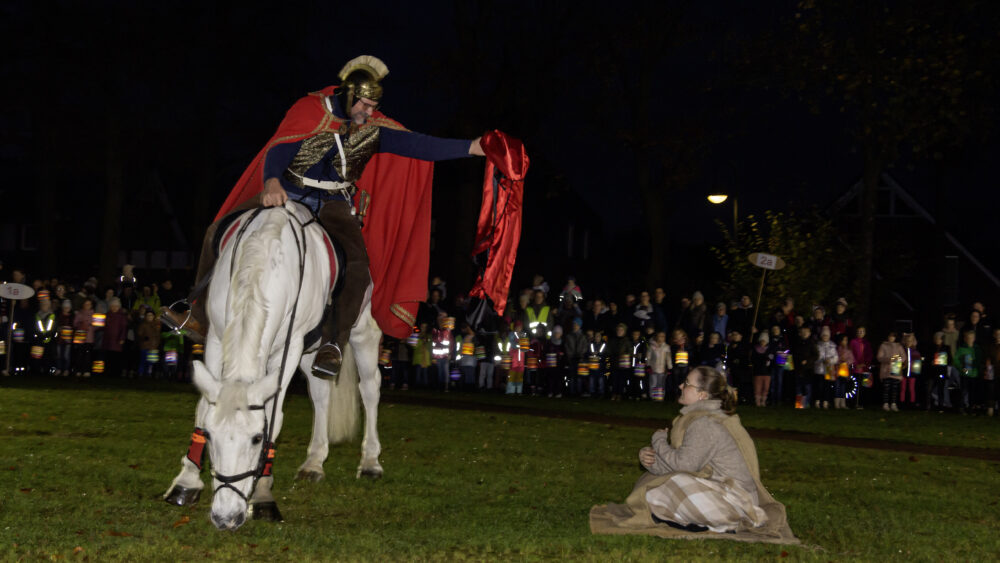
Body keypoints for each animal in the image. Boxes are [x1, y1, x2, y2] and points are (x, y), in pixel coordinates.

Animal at [162, 200, 384, 532]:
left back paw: (370, 461)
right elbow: (203, 406)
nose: (225, 518)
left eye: (257, 438)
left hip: (358, 325)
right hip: (312, 348)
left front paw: (264, 495)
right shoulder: (216, 337)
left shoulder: (289, 348)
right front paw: (186, 483)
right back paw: (314, 462)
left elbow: (274, 413)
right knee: (320, 394)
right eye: (210, 436)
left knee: (369, 385)